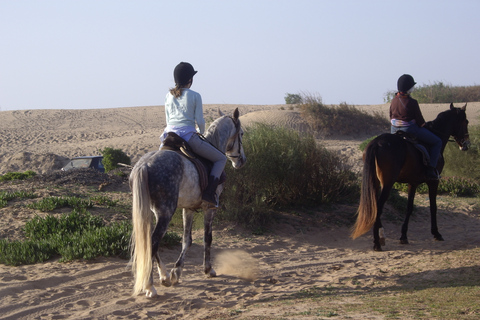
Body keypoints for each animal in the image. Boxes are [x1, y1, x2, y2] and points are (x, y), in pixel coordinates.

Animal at [129, 108, 246, 298]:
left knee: (151, 242)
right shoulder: (210, 208)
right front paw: (208, 269)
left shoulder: (188, 209)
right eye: (241, 133)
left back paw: (164, 276)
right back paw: (150, 286)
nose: (241, 160)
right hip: (166, 212)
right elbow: (207, 238)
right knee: (153, 242)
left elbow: (187, 240)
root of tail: (144, 165)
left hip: (153, 212)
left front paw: (176, 272)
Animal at [350, 104, 470, 251]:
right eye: (466, 122)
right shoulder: (433, 181)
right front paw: (436, 233)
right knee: (378, 207)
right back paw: (378, 242)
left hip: (375, 182)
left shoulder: (412, 183)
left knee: (375, 206)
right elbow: (433, 206)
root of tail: (377, 143)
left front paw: (403, 236)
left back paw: (380, 238)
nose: (466, 144)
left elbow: (409, 208)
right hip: (387, 183)